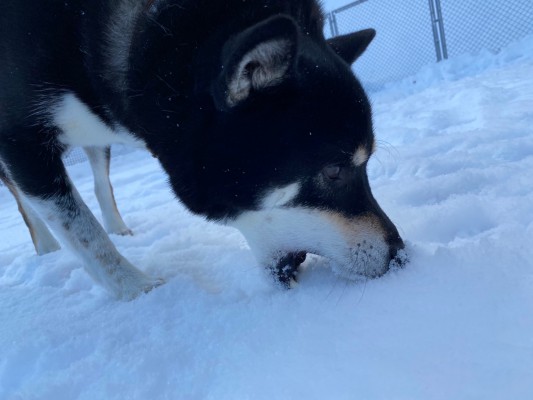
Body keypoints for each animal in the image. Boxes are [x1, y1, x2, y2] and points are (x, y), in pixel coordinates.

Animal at [1, 0, 404, 300]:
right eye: (334, 171)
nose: (400, 253)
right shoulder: (20, 142)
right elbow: (82, 230)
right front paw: (139, 290)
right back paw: (48, 248)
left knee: (100, 183)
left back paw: (118, 230)